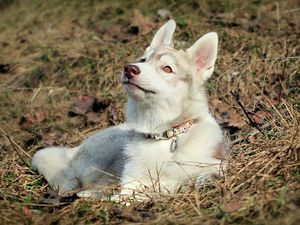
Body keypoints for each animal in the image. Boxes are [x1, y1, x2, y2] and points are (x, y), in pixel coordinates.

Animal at [31, 18, 226, 199]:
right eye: (142, 60)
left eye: (167, 69)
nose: (129, 69)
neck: (165, 135)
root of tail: (74, 149)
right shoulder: (131, 183)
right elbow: (131, 195)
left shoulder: (214, 166)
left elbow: (200, 177)